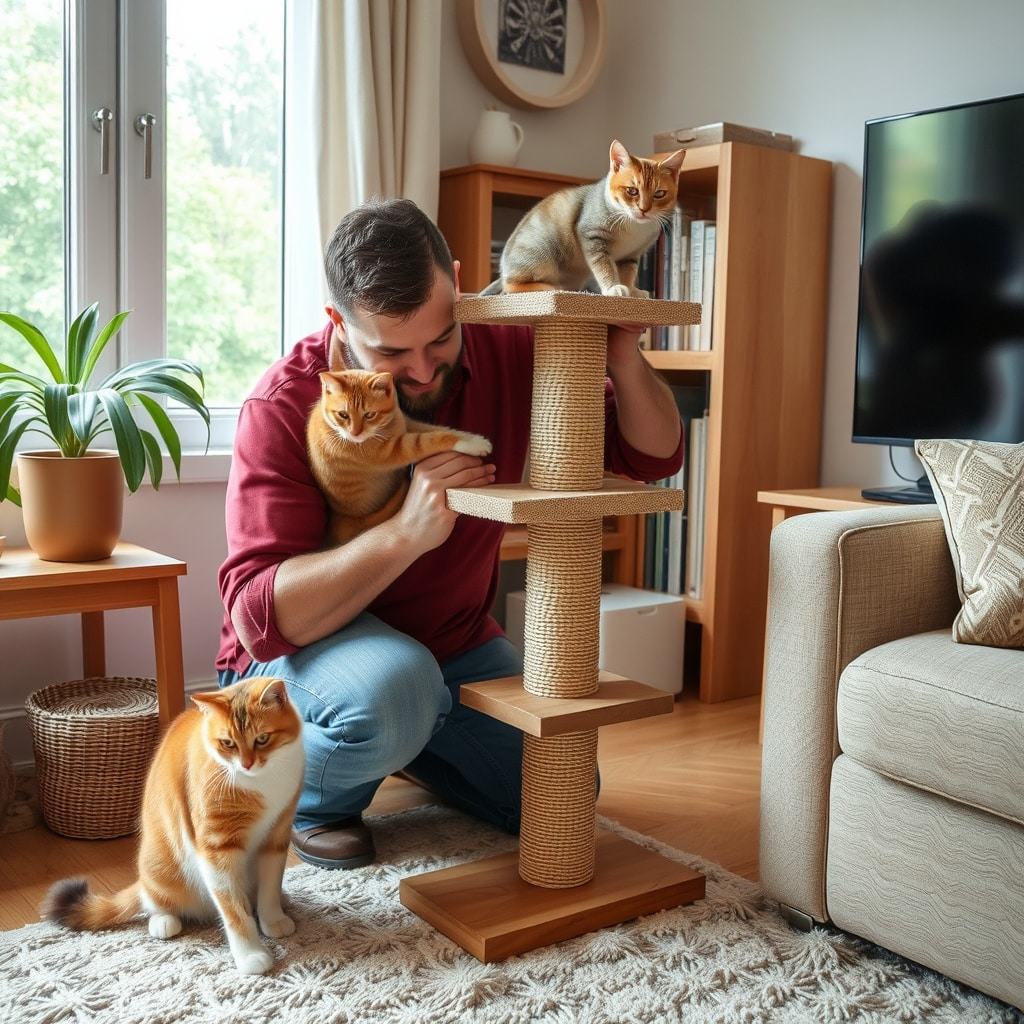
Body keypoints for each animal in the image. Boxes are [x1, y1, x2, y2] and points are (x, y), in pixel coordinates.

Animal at [41, 679, 303, 974]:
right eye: (228, 743)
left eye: (262, 739)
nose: (247, 764)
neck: (262, 781)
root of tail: (142, 880)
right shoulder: (215, 848)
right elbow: (233, 909)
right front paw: (251, 955)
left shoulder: (277, 835)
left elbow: (270, 887)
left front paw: (273, 919)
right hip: (160, 868)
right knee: (154, 901)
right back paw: (163, 921)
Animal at [307, 366, 491, 544]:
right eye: (343, 415)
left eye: (369, 415)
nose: (355, 434)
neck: (386, 425)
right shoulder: (390, 450)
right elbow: (428, 439)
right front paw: (471, 444)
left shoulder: (407, 423)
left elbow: (437, 429)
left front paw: (473, 438)